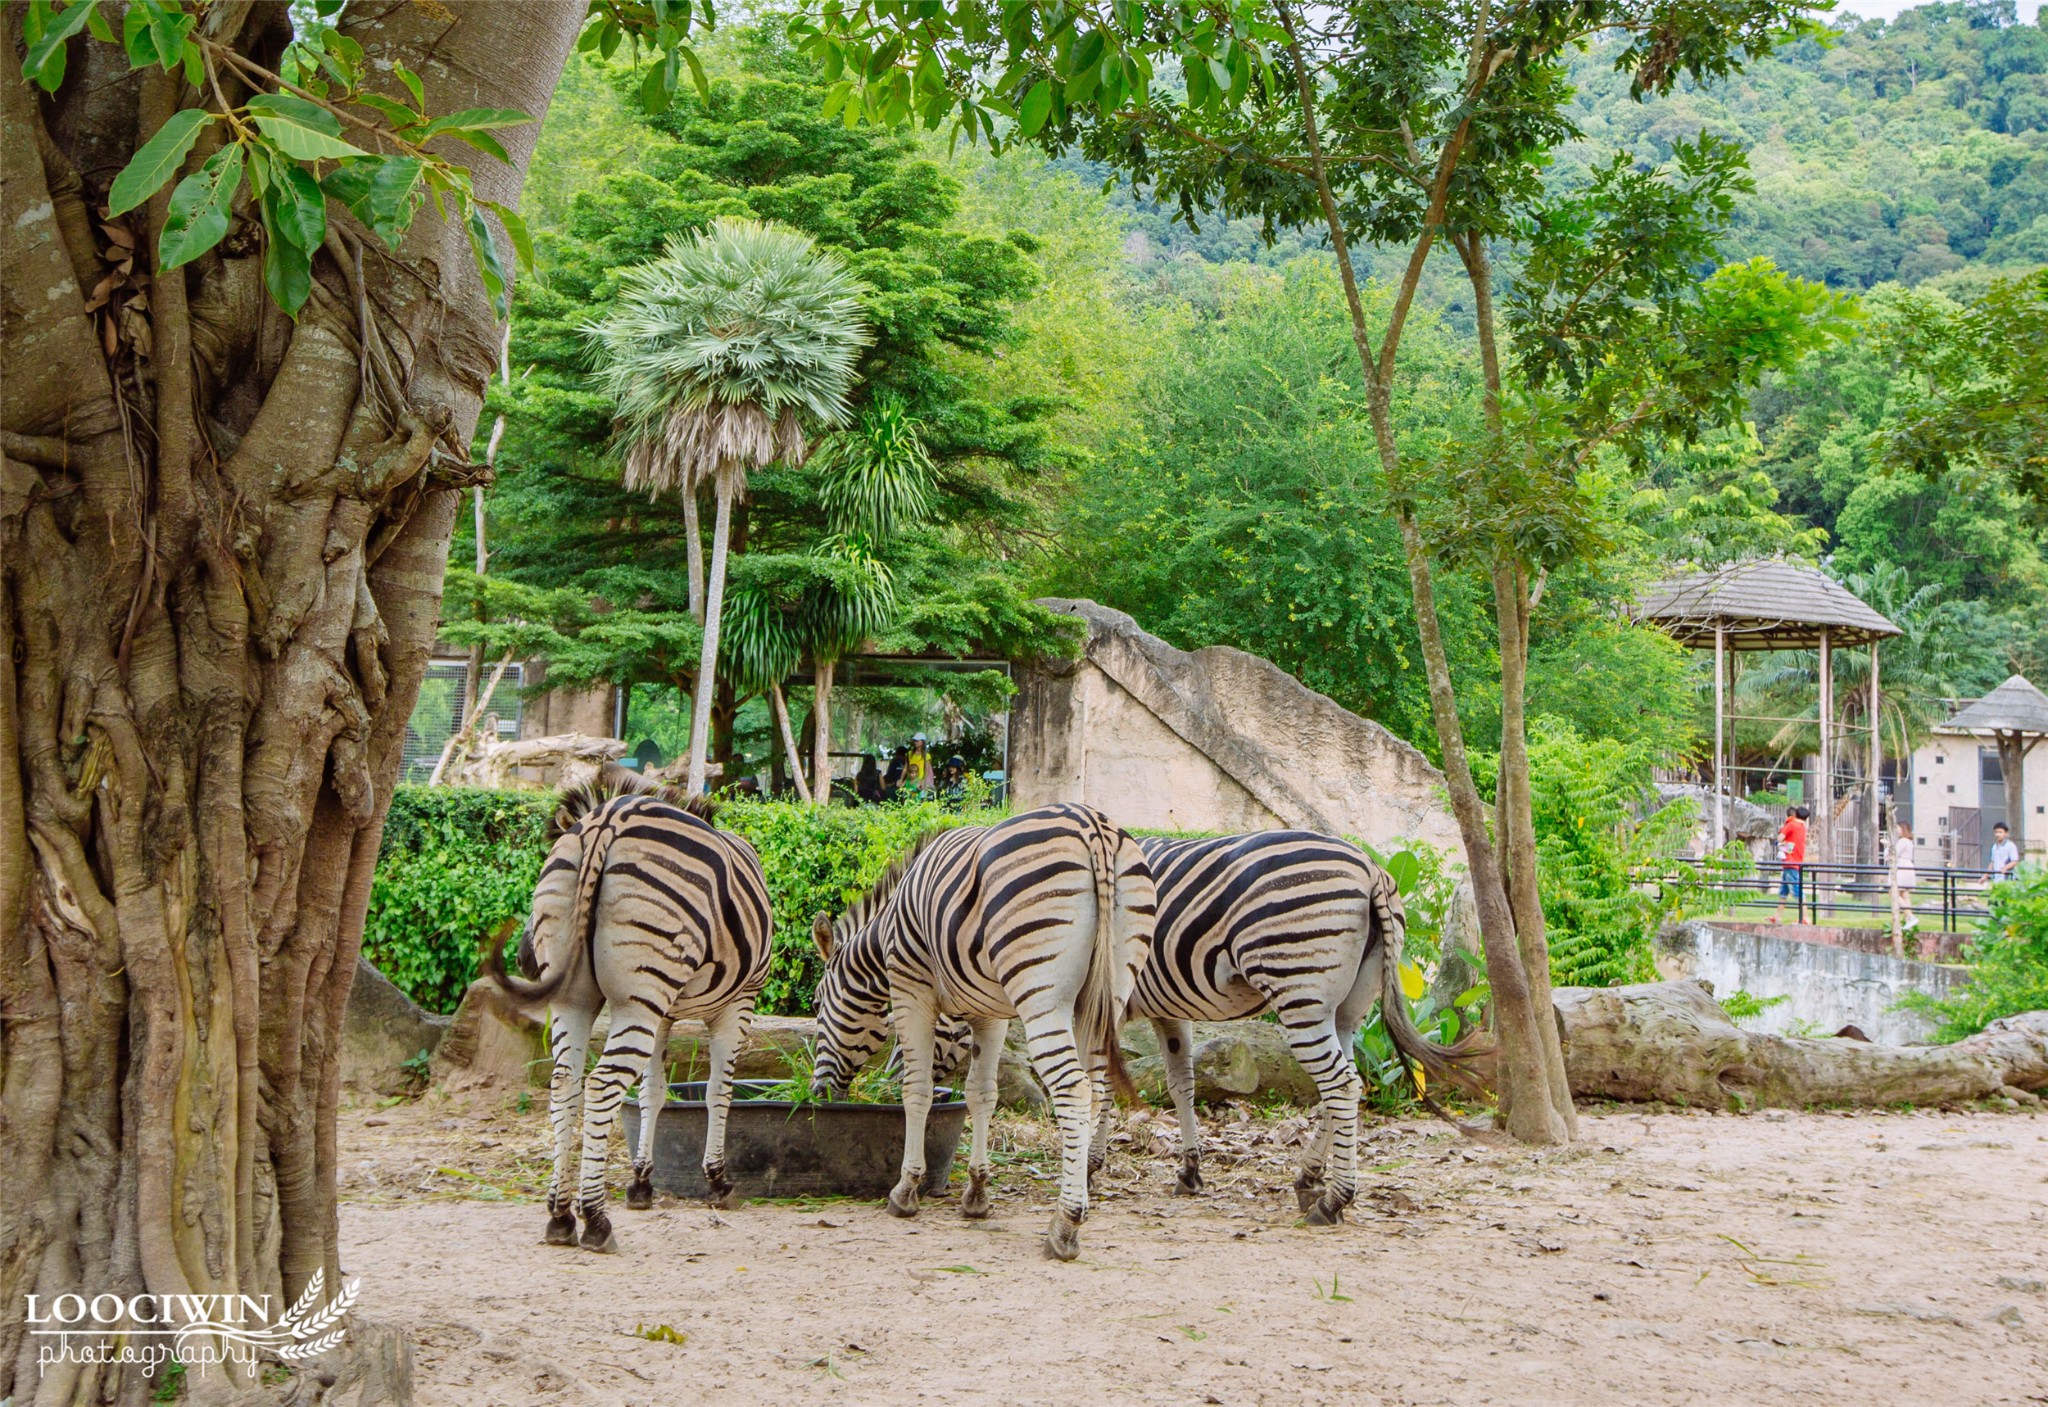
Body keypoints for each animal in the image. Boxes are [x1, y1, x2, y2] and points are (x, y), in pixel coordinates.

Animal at [483, 782, 770, 1253]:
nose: (525, 960)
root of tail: (609, 819)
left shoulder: (664, 1015)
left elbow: (653, 1093)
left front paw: (641, 1182)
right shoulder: (736, 1005)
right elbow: (719, 1092)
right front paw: (717, 1180)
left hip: (579, 999)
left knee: (565, 1083)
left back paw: (560, 1215)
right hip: (640, 995)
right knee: (602, 1084)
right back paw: (596, 1220)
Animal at [806, 802, 1155, 1269]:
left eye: (816, 1003)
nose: (818, 1092)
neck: (885, 939)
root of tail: (1094, 827)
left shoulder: (911, 989)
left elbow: (916, 1089)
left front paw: (906, 1190)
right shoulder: (992, 1012)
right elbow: (982, 1095)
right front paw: (976, 1192)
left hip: (1042, 991)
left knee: (1074, 1090)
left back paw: (1065, 1225)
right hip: (1108, 992)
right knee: (1098, 1091)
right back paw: (1080, 1195)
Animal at [1105, 835, 1490, 1220]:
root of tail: (1372, 869)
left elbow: (1103, 1086)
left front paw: (1095, 1171)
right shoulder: (1167, 1010)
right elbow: (1181, 1084)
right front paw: (1189, 1170)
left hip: (1298, 988)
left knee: (1340, 1084)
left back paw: (1334, 1201)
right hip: (1346, 1010)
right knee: (1350, 1081)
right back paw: (1310, 1177)